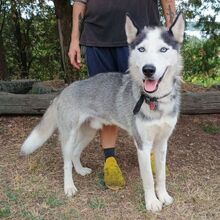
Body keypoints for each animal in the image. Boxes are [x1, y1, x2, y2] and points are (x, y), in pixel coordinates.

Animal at [21, 13, 185, 211]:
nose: (148, 70)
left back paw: (81, 170)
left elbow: (160, 176)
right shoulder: (143, 146)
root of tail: (63, 91)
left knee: (75, 153)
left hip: (89, 132)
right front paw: (152, 202)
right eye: (141, 49)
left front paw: (163, 196)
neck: (155, 100)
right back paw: (69, 187)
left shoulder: (162, 144)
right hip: (69, 136)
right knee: (66, 162)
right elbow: (148, 180)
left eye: (163, 49)